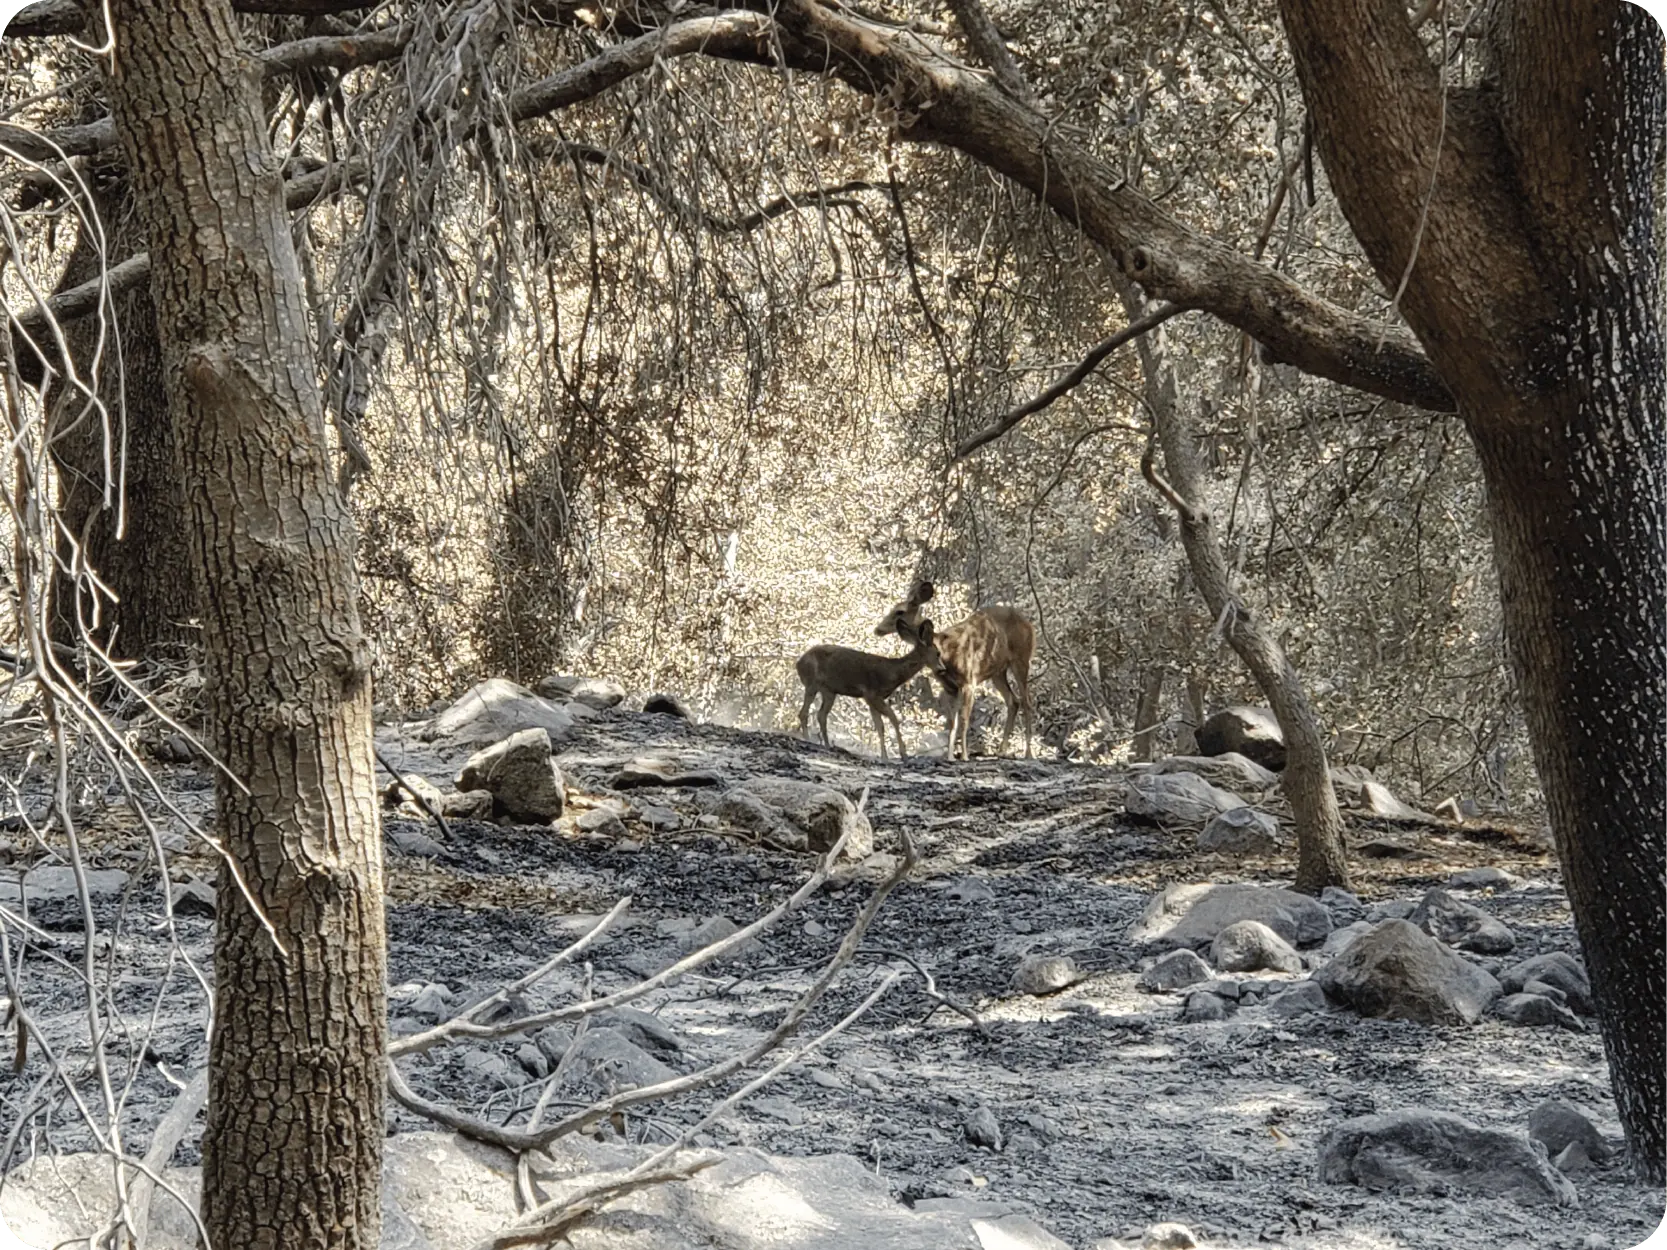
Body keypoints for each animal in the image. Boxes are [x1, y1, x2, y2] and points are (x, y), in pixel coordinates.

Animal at [795, 617, 944, 761]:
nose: (942, 669)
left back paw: (826, 745)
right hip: (812, 683)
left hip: (829, 691)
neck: (892, 672)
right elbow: (893, 719)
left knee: (821, 715)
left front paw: (885, 757)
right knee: (804, 712)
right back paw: (808, 739)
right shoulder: (872, 694)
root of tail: (798, 663)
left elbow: (880, 727)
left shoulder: (872, 699)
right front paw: (903, 754)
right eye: (938, 653)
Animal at [875, 580, 1035, 760]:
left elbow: (964, 720)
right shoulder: (949, 687)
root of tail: (1028, 624)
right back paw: (1001, 751)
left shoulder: (969, 681)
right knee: (1013, 701)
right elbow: (952, 722)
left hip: (1021, 658)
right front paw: (950, 756)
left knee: (1026, 701)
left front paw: (964, 756)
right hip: (997, 672)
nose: (878, 629)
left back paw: (1028, 753)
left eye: (899, 611)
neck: (945, 650)